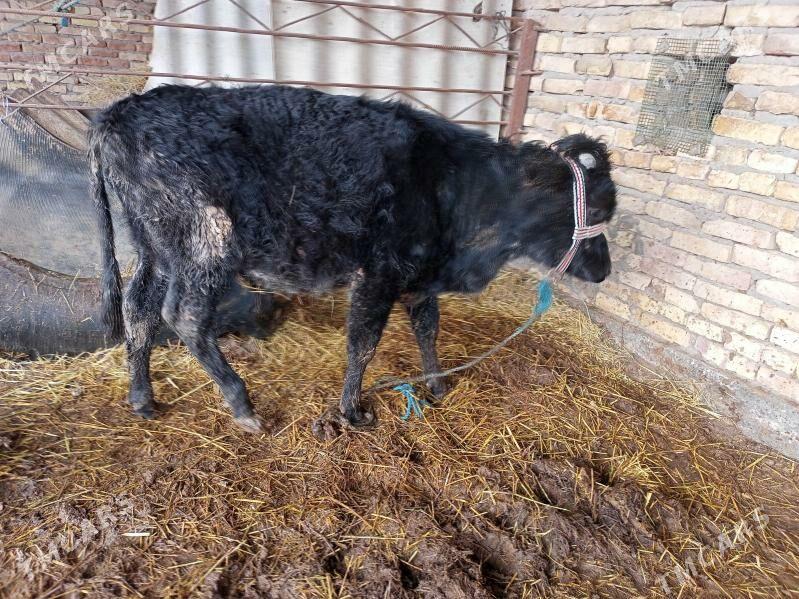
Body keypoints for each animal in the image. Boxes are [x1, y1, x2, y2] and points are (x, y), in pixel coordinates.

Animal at [90, 85, 616, 437]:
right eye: (598, 210)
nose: (605, 270)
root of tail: (119, 112)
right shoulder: (379, 273)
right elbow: (363, 344)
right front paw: (353, 412)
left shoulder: (419, 277)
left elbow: (428, 329)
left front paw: (437, 387)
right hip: (205, 240)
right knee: (184, 315)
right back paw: (243, 407)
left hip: (155, 248)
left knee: (138, 308)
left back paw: (142, 399)